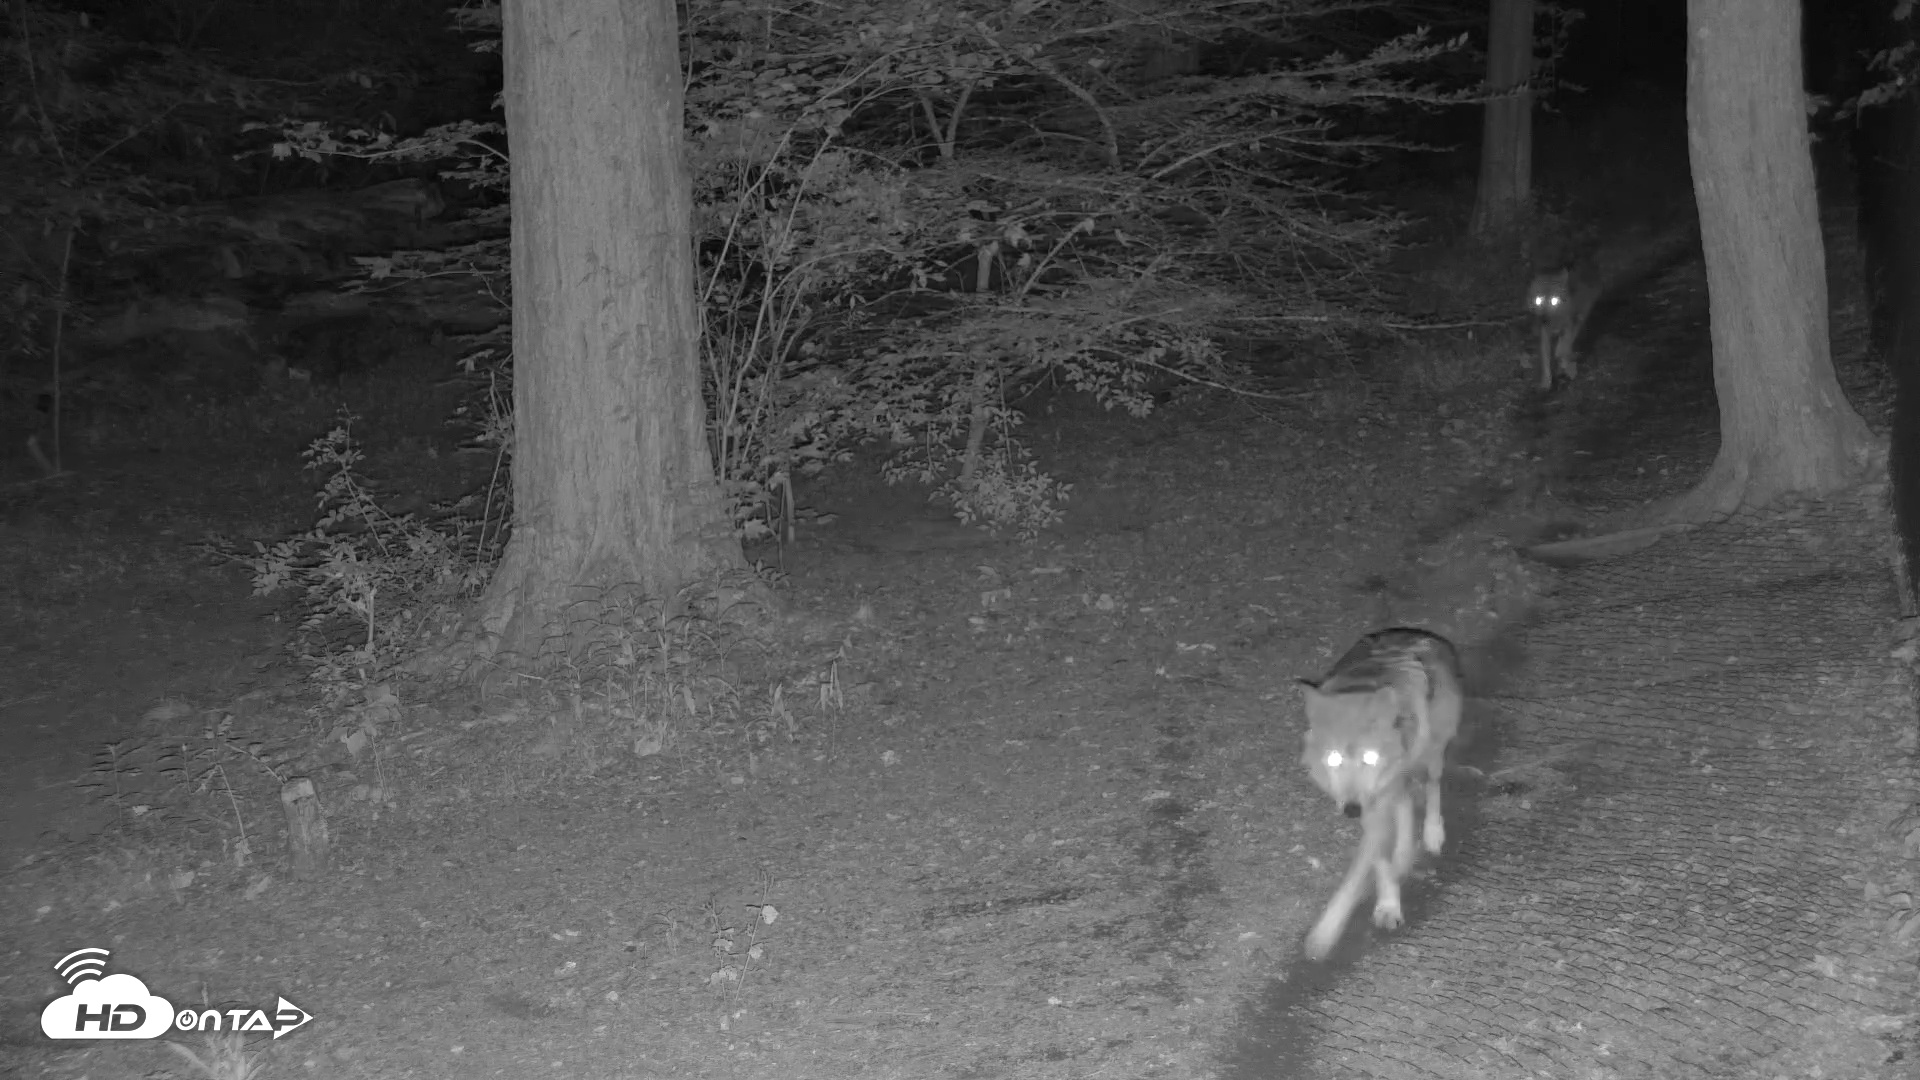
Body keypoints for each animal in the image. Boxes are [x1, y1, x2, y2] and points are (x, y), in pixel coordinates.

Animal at [1298, 627, 1463, 960]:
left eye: (1370, 758)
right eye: (1334, 759)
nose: (1351, 811)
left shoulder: (1379, 796)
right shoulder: (1372, 802)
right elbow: (1381, 859)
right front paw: (1388, 903)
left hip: (1433, 751)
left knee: (1432, 786)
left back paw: (1432, 834)